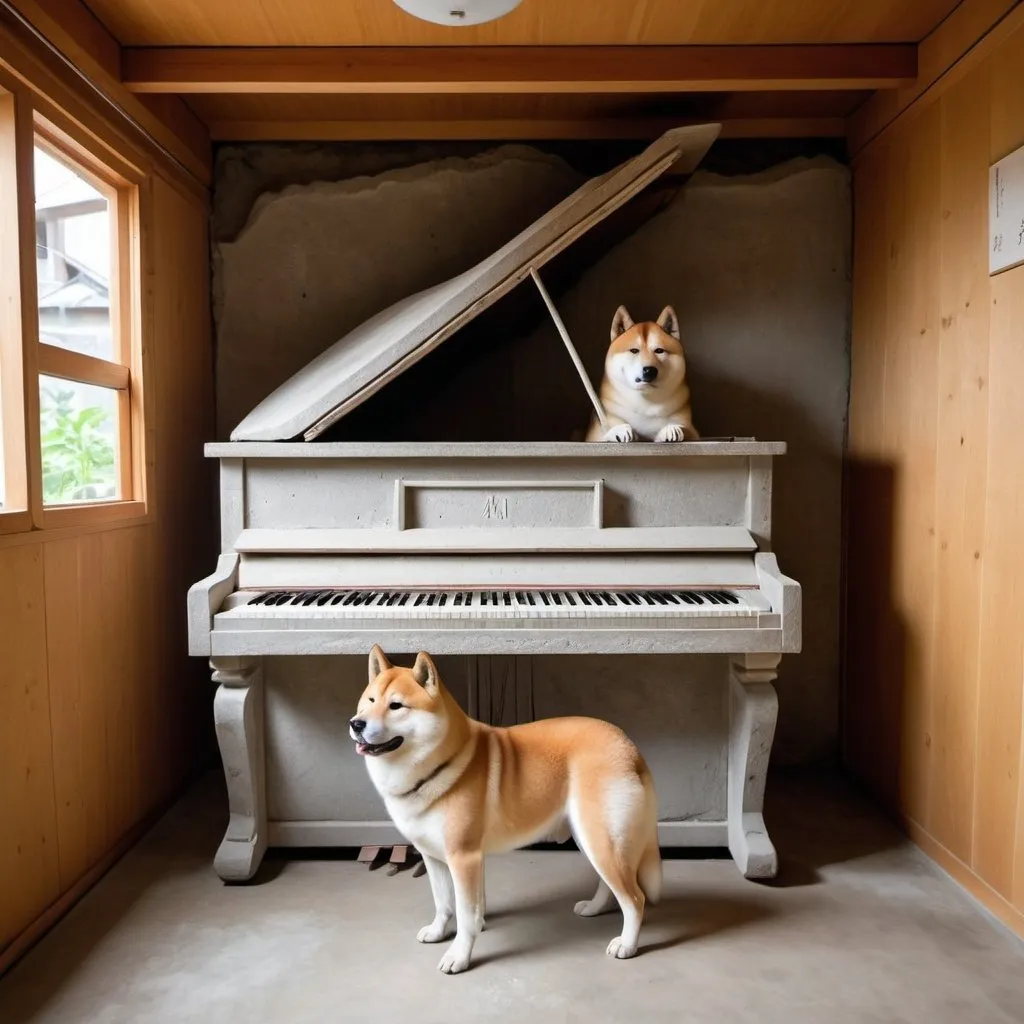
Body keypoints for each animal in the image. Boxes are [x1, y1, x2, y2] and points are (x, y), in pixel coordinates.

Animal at [348, 647, 659, 974]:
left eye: (396, 706)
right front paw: (438, 931)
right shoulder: (435, 857)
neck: (445, 762)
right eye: (371, 700)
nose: (356, 723)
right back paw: (595, 908)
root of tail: (629, 746)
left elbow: (466, 914)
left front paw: (459, 955)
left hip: (600, 840)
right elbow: (443, 903)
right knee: (610, 885)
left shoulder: (463, 858)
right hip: (590, 839)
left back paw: (627, 944)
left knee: (634, 898)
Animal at [589, 301, 700, 442]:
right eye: (634, 350)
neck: (645, 405)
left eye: (659, 351)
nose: (649, 370)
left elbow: (685, 429)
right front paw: (618, 430)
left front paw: (670, 429)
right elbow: (603, 436)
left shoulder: (694, 432)